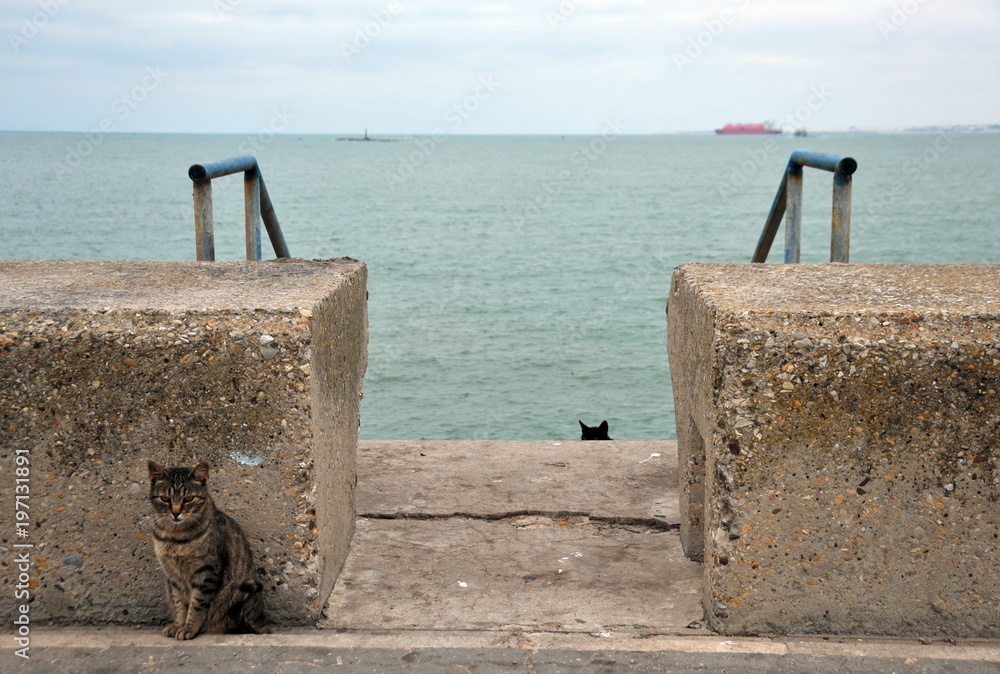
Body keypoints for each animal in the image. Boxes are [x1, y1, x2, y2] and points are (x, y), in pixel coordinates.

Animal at [145, 460, 270, 636]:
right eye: (165, 498)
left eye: (189, 498)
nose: (175, 513)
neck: (174, 536)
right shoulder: (173, 577)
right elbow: (179, 604)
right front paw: (179, 624)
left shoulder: (206, 574)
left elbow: (196, 606)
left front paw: (188, 628)